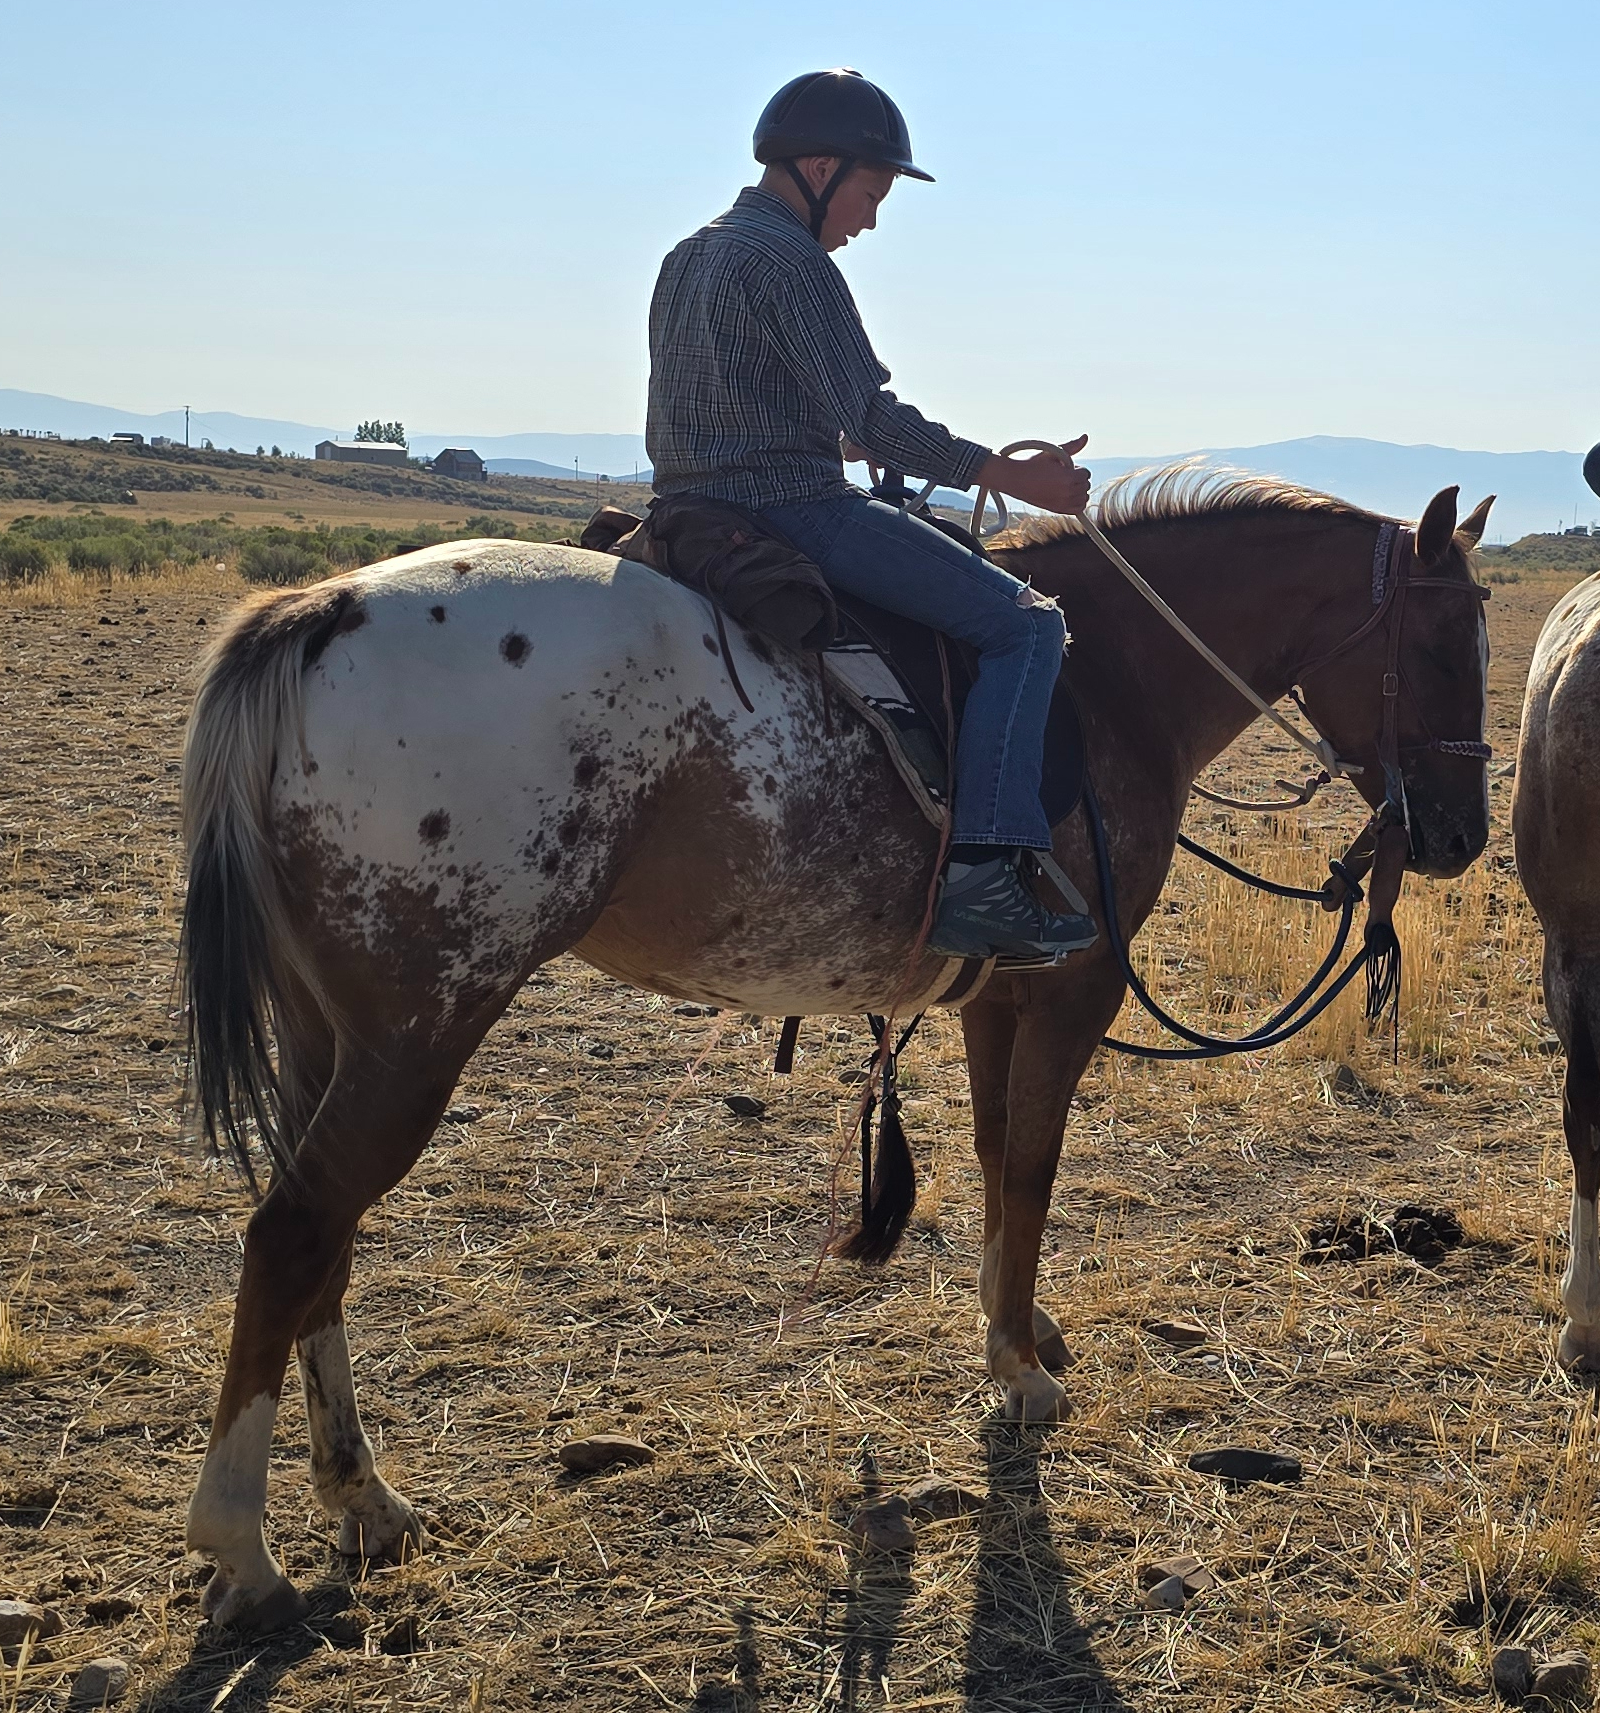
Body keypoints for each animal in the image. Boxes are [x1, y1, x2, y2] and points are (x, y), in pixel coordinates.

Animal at [177, 468, 1494, 1630]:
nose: (1459, 838)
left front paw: (1012, 1329)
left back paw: (363, 1500)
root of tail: (323, 611)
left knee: (323, 1245)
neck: (1113, 677)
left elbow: (995, 1160)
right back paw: (244, 1551)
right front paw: (1020, 1373)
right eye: (1444, 643)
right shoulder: (1067, 992)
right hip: (417, 1033)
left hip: (332, 1035)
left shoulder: (993, 998)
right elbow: (1030, 1168)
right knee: (293, 1234)